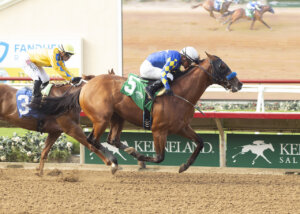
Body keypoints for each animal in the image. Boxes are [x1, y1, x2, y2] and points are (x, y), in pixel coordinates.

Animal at [32, 52, 243, 173]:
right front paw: (142, 159)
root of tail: (86, 84)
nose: (238, 84)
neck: (180, 93)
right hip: (101, 118)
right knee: (92, 140)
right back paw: (114, 161)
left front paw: (184, 166)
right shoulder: (159, 130)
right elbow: (159, 157)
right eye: (222, 66)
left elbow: (200, 143)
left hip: (118, 117)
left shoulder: (181, 127)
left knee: (111, 139)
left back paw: (124, 154)